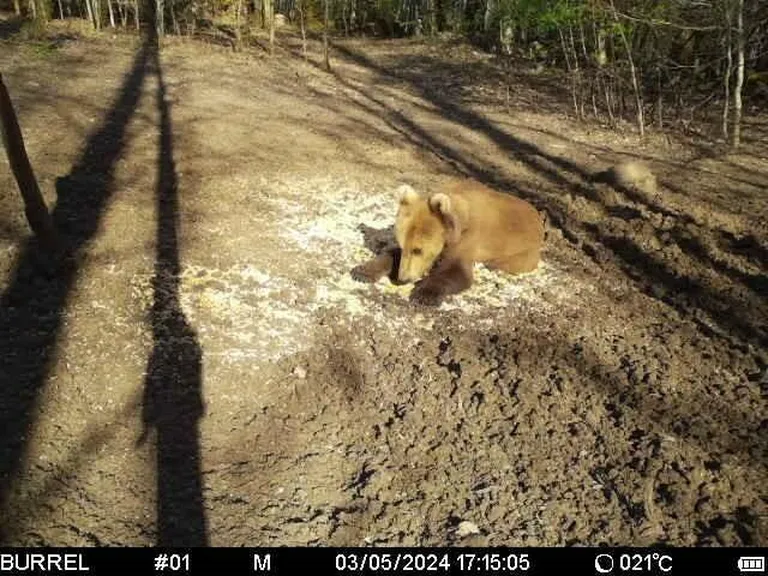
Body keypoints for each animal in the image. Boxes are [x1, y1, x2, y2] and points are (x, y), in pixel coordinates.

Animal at [352, 179, 544, 306]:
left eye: (418, 250)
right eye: (403, 245)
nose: (402, 278)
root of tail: (538, 216)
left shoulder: (468, 240)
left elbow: (455, 271)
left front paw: (423, 294)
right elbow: (391, 254)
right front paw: (361, 272)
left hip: (523, 250)